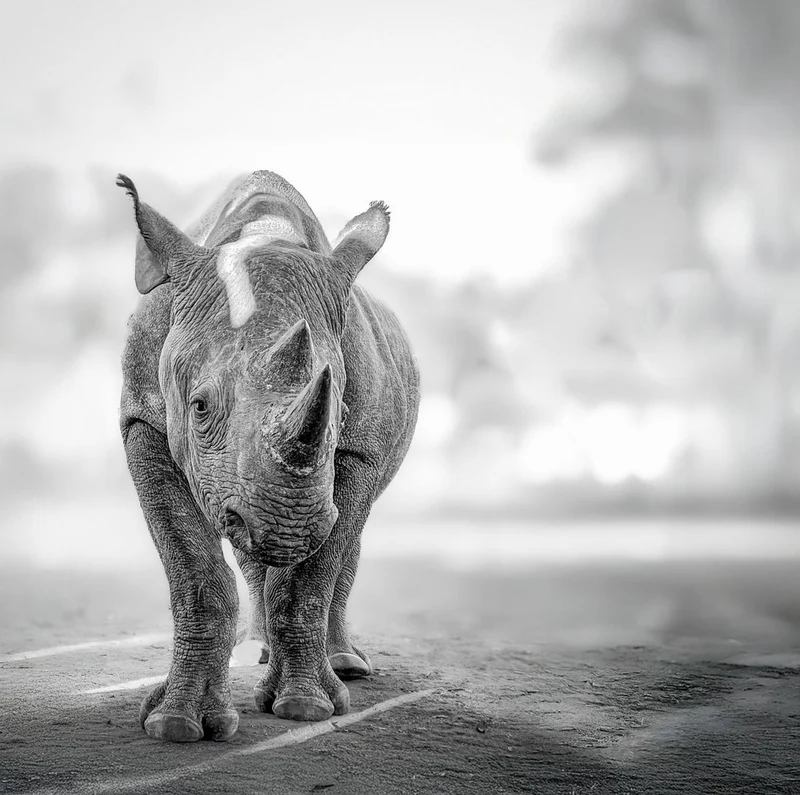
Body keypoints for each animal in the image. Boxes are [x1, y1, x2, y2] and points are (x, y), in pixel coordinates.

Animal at [118, 170, 419, 743]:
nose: (289, 526)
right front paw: (175, 724)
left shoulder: (358, 451)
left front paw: (308, 706)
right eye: (199, 407)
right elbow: (194, 567)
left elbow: (309, 576)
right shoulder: (141, 422)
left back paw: (344, 664)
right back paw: (255, 652)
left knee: (345, 540)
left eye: (341, 410)